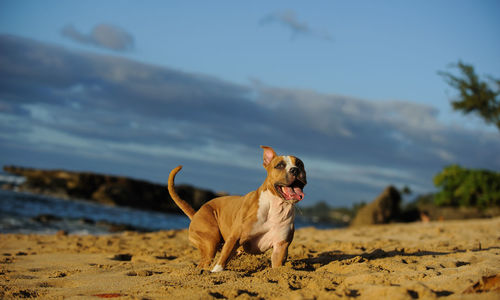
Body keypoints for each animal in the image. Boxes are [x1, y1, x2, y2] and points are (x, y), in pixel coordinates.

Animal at [168, 145, 306, 272]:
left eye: (300, 164)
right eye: (280, 165)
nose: (295, 170)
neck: (275, 207)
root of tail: (197, 212)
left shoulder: (280, 247)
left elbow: (277, 267)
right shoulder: (235, 237)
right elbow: (221, 262)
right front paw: (216, 271)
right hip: (210, 240)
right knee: (205, 262)